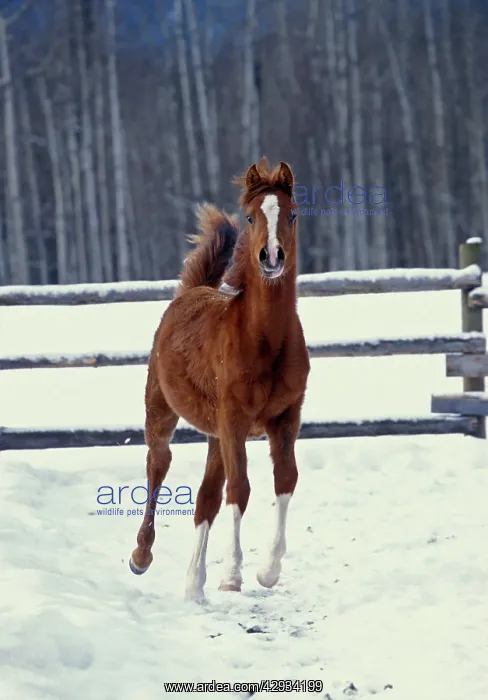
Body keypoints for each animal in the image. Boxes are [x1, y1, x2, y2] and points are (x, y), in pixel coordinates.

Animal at [128, 158, 310, 602]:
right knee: (158, 465)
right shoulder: (234, 419)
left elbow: (285, 479)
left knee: (206, 498)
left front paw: (268, 571)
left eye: (292, 214)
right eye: (250, 216)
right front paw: (232, 575)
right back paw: (141, 557)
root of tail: (192, 291)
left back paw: (194, 584)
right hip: (162, 412)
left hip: (215, 434)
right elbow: (240, 489)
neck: (262, 340)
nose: (272, 256)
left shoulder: (285, 417)